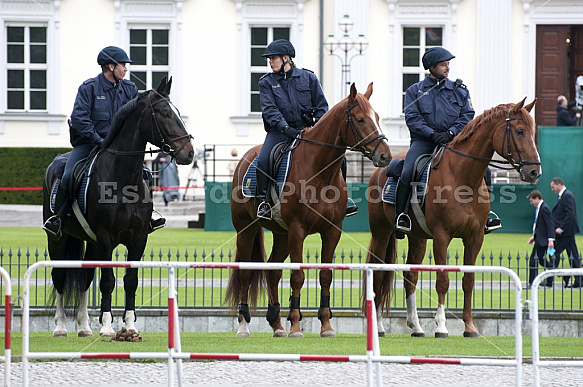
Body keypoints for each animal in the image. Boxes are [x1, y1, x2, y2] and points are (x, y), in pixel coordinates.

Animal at [44, 77, 194, 338]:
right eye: (165, 113)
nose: (190, 153)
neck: (123, 181)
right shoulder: (105, 237)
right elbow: (107, 281)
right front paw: (106, 326)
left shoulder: (138, 238)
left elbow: (130, 280)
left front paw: (130, 325)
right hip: (58, 238)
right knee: (60, 276)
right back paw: (61, 326)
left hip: (91, 242)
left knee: (85, 278)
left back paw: (84, 326)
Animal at [228, 83, 392, 338]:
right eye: (360, 119)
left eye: (376, 117)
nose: (385, 155)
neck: (320, 172)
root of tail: (246, 158)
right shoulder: (298, 230)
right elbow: (297, 276)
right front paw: (296, 325)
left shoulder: (331, 231)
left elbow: (325, 275)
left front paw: (325, 324)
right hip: (246, 230)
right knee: (246, 272)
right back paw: (244, 324)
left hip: (281, 235)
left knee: (272, 271)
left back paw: (277, 324)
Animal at [368, 98, 540, 338]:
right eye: (520, 131)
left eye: (532, 131)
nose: (534, 171)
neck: (463, 178)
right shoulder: (442, 237)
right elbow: (443, 280)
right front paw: (441, 326)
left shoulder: (475, 238)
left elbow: (468, 280)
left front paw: (469, 326)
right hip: (381, 233)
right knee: (378, 272)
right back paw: (379, 327)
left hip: (418, 239)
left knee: (410, 277)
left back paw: (416, 326)